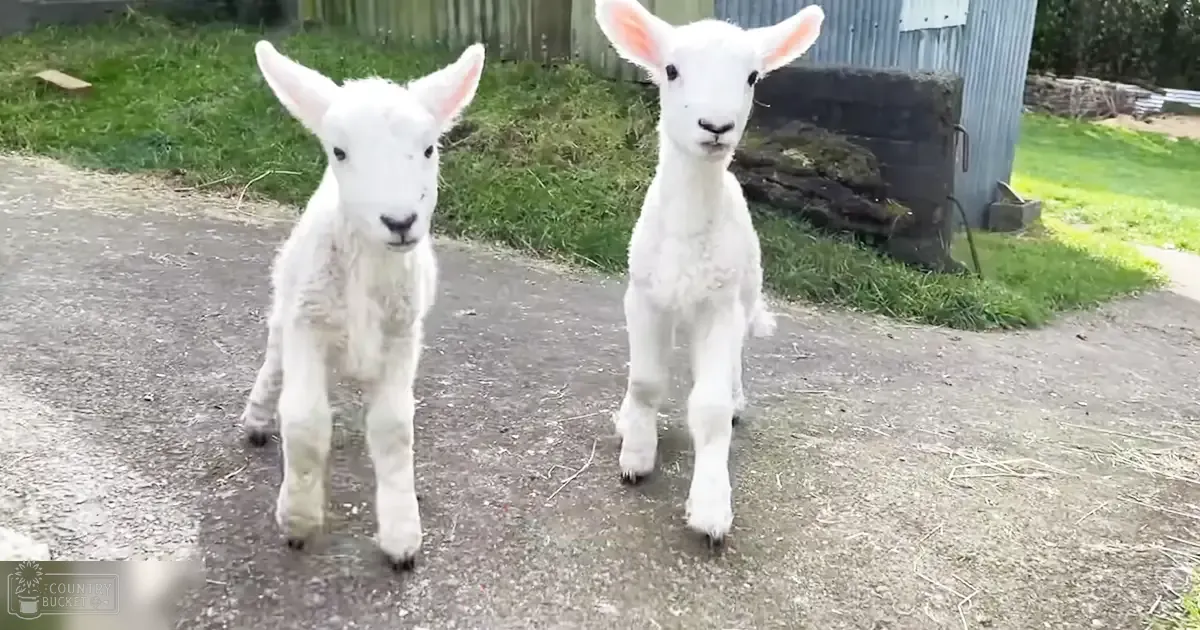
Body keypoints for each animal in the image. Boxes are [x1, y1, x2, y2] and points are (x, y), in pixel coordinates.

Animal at [237, 39, 486, 570]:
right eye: (339, 151)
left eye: (429, 148)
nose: (400, 221)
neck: (368, 265)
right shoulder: (307, 325)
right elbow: (306, 424)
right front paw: (298, 520)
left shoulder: (401, 335)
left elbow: (392, 430)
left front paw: (401, 536)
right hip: (287, 300)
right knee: (273, 360)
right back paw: (256, 419)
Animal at [592, 0, 824, 543]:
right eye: (671, 70)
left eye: (753, 76)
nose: (715, 125)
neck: (687, 230)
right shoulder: (643, 295)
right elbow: (645, 381)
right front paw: (636, 455)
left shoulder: (720, 305)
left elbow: (712, 408)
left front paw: (711, 509)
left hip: (744, 290)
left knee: (731, 367)